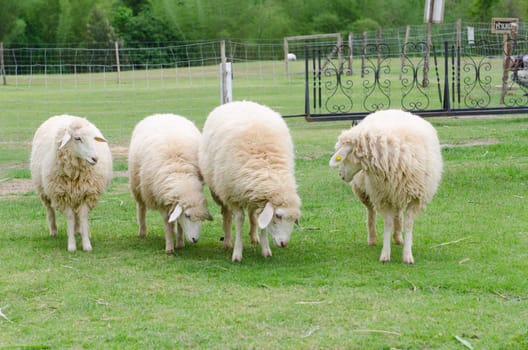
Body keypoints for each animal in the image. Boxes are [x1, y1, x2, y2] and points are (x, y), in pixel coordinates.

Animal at [29, 115, 112, 252]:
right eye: (77, 138)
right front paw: (72, 245)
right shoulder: (62, 195)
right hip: (43, 189)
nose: (95, 159)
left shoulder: (87, 194)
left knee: (77, 216)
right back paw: (53, 231)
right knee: (50, 210)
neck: (75, 173)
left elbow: (82, 217)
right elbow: (70, 218)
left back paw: (79, 230)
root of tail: (63, 115)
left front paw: (86, 244)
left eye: (93, 138)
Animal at [128, 113, 212, 253]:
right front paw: (169, 248)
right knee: (141, 208)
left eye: (201, 219)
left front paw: (180, 242)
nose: (195, 240)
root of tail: (162, 114)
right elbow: (167, 223)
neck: (179, 173)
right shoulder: (161, 200)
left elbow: (178, 223)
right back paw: (142, 232)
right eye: (187, 215)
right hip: (137, 185)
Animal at [199, 100, 302, 262]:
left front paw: (265, 250)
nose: (283, 244)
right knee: (227, 216)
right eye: (278, 216)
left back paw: (254, 237)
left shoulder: (260, 196)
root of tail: (240, 102)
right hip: (220, 190)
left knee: (253, 215)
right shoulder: (232, 196)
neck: (267, 167)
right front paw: (237, 253)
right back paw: (227, 241)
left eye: (294, 219)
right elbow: (239, 220)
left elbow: (261, 223)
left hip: (250, 193)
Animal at [330, 109, 442, 262]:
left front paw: (407, 255)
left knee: (398, 214)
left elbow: (408, 225)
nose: (340, 175)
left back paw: (399, 237)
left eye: (343, 156)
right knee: (371, 213)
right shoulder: (382, 197)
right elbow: (387, 223)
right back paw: (372, 238)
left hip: (398, 192)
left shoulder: (415, 197)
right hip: (366, 192)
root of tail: (390, 110)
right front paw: (385, 254)